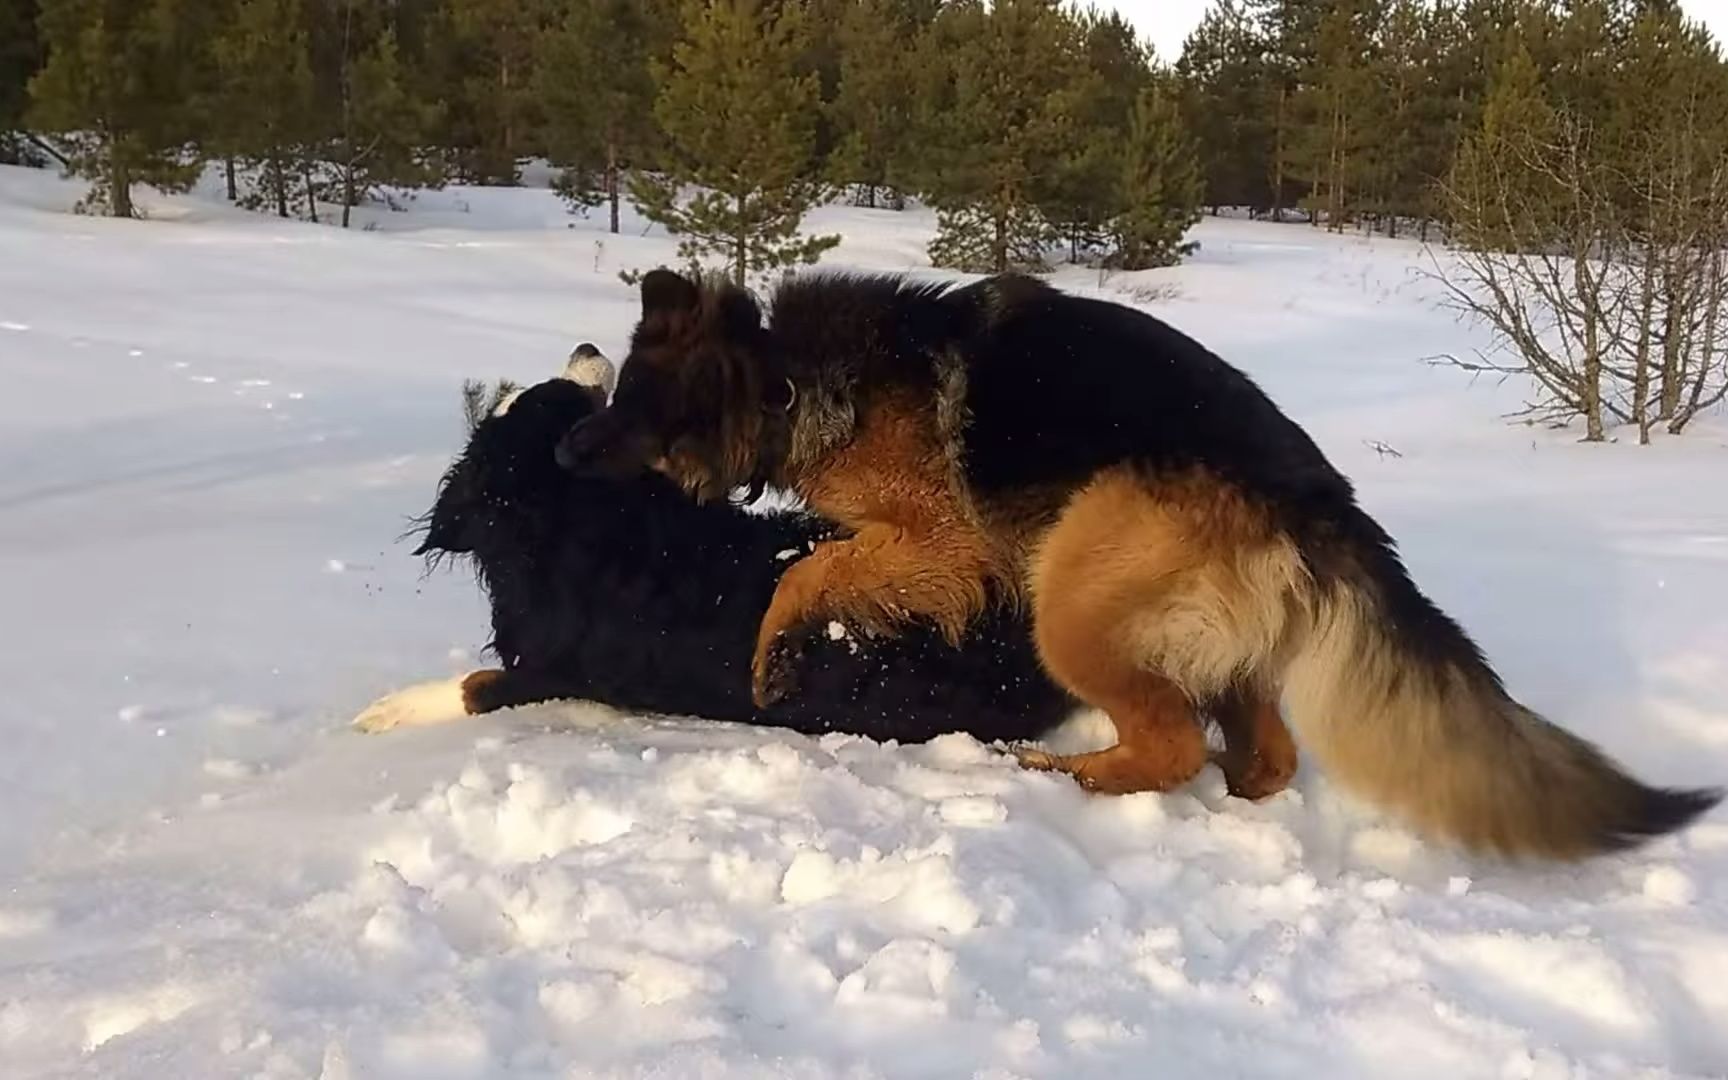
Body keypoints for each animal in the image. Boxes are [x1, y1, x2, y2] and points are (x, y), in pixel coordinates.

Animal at [352, 357, 1071, 746]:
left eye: (564, 394)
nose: (588, 349)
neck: (574, 522)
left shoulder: (552, 670)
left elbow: (474, 685)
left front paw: (388, 710)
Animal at [552, 269, 1714, 860]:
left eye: (631, 415)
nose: (562, 451)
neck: (791, 377)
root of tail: (1322, 502)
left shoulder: (942, 540)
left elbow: (810, 572)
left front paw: (774, 652)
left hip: (1071, 596)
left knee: (1169, 742)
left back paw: (1069, 776)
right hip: (1201, 629)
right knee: (1262, 749)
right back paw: (1231, 796)